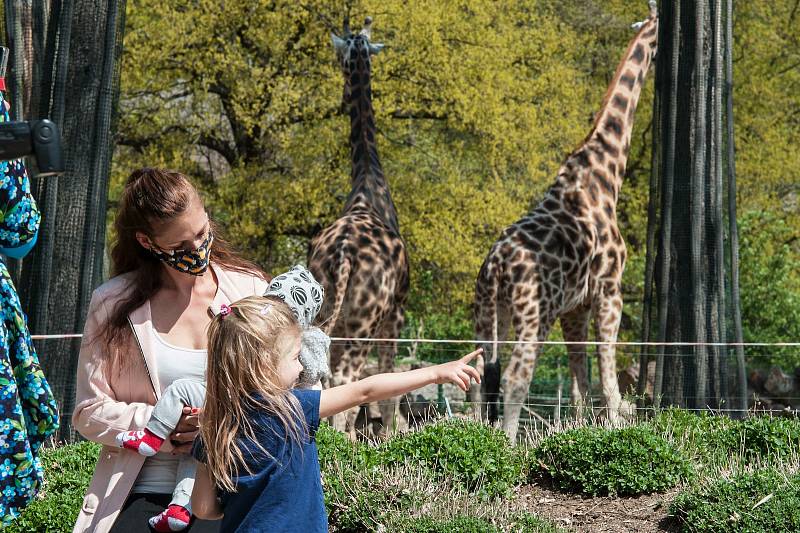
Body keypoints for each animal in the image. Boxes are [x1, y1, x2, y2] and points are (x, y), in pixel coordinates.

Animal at [476, 2, 656, 438]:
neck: (605, 174)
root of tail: (495, 267)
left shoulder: (574, 308)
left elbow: (579, 383)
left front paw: (577, 431)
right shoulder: (610, 291)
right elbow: (608, 379)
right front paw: (614, 431)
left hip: (490, 310)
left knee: (481, 373)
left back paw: (480, 436)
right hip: (532, 312)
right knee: (515, 375)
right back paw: (507, 445)